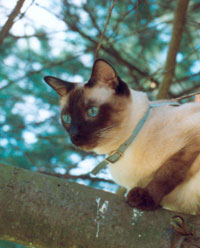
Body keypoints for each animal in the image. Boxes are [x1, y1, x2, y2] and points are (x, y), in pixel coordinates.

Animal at [43, 59, 200, 214]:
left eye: (92, 111)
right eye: (67, 118)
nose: (74, 136)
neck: (123, 147)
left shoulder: (192, 140)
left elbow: (168, 173)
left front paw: (145, 197)